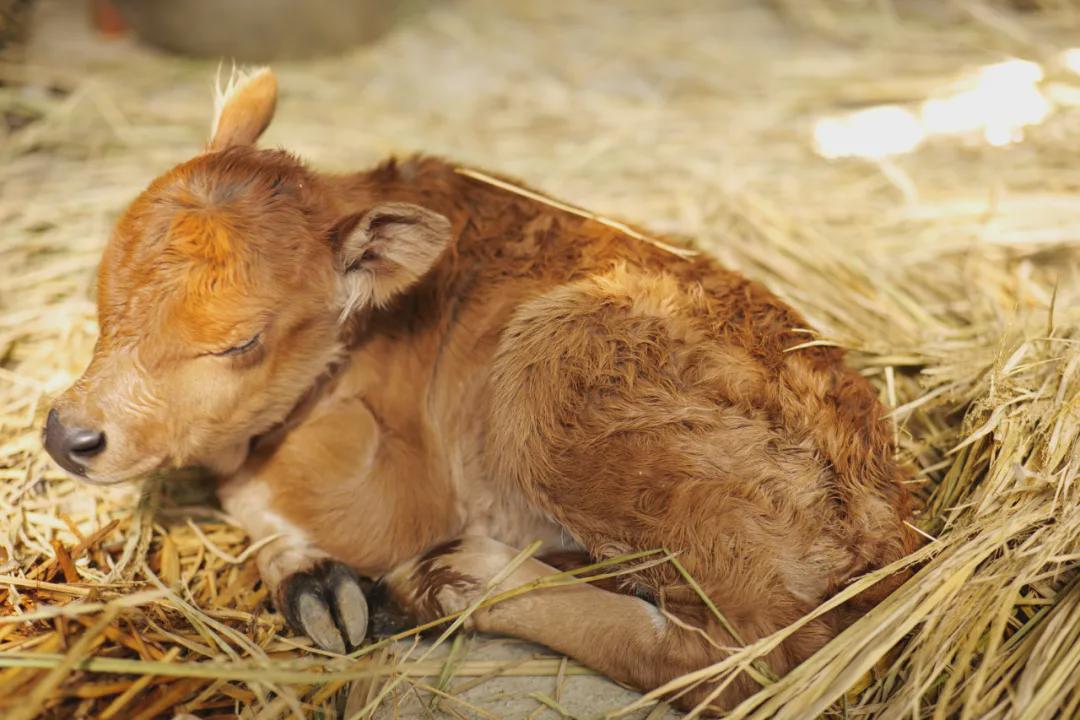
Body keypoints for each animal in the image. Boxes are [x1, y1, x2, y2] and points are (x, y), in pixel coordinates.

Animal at [44, 70, 920, 712]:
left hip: (554, 371)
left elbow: (255, 490)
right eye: (105, 283)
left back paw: (454, 581)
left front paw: (322, 582)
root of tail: (885, 521)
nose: (68, 435)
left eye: (240, 342)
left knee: (737, 661)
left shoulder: (392, 493)